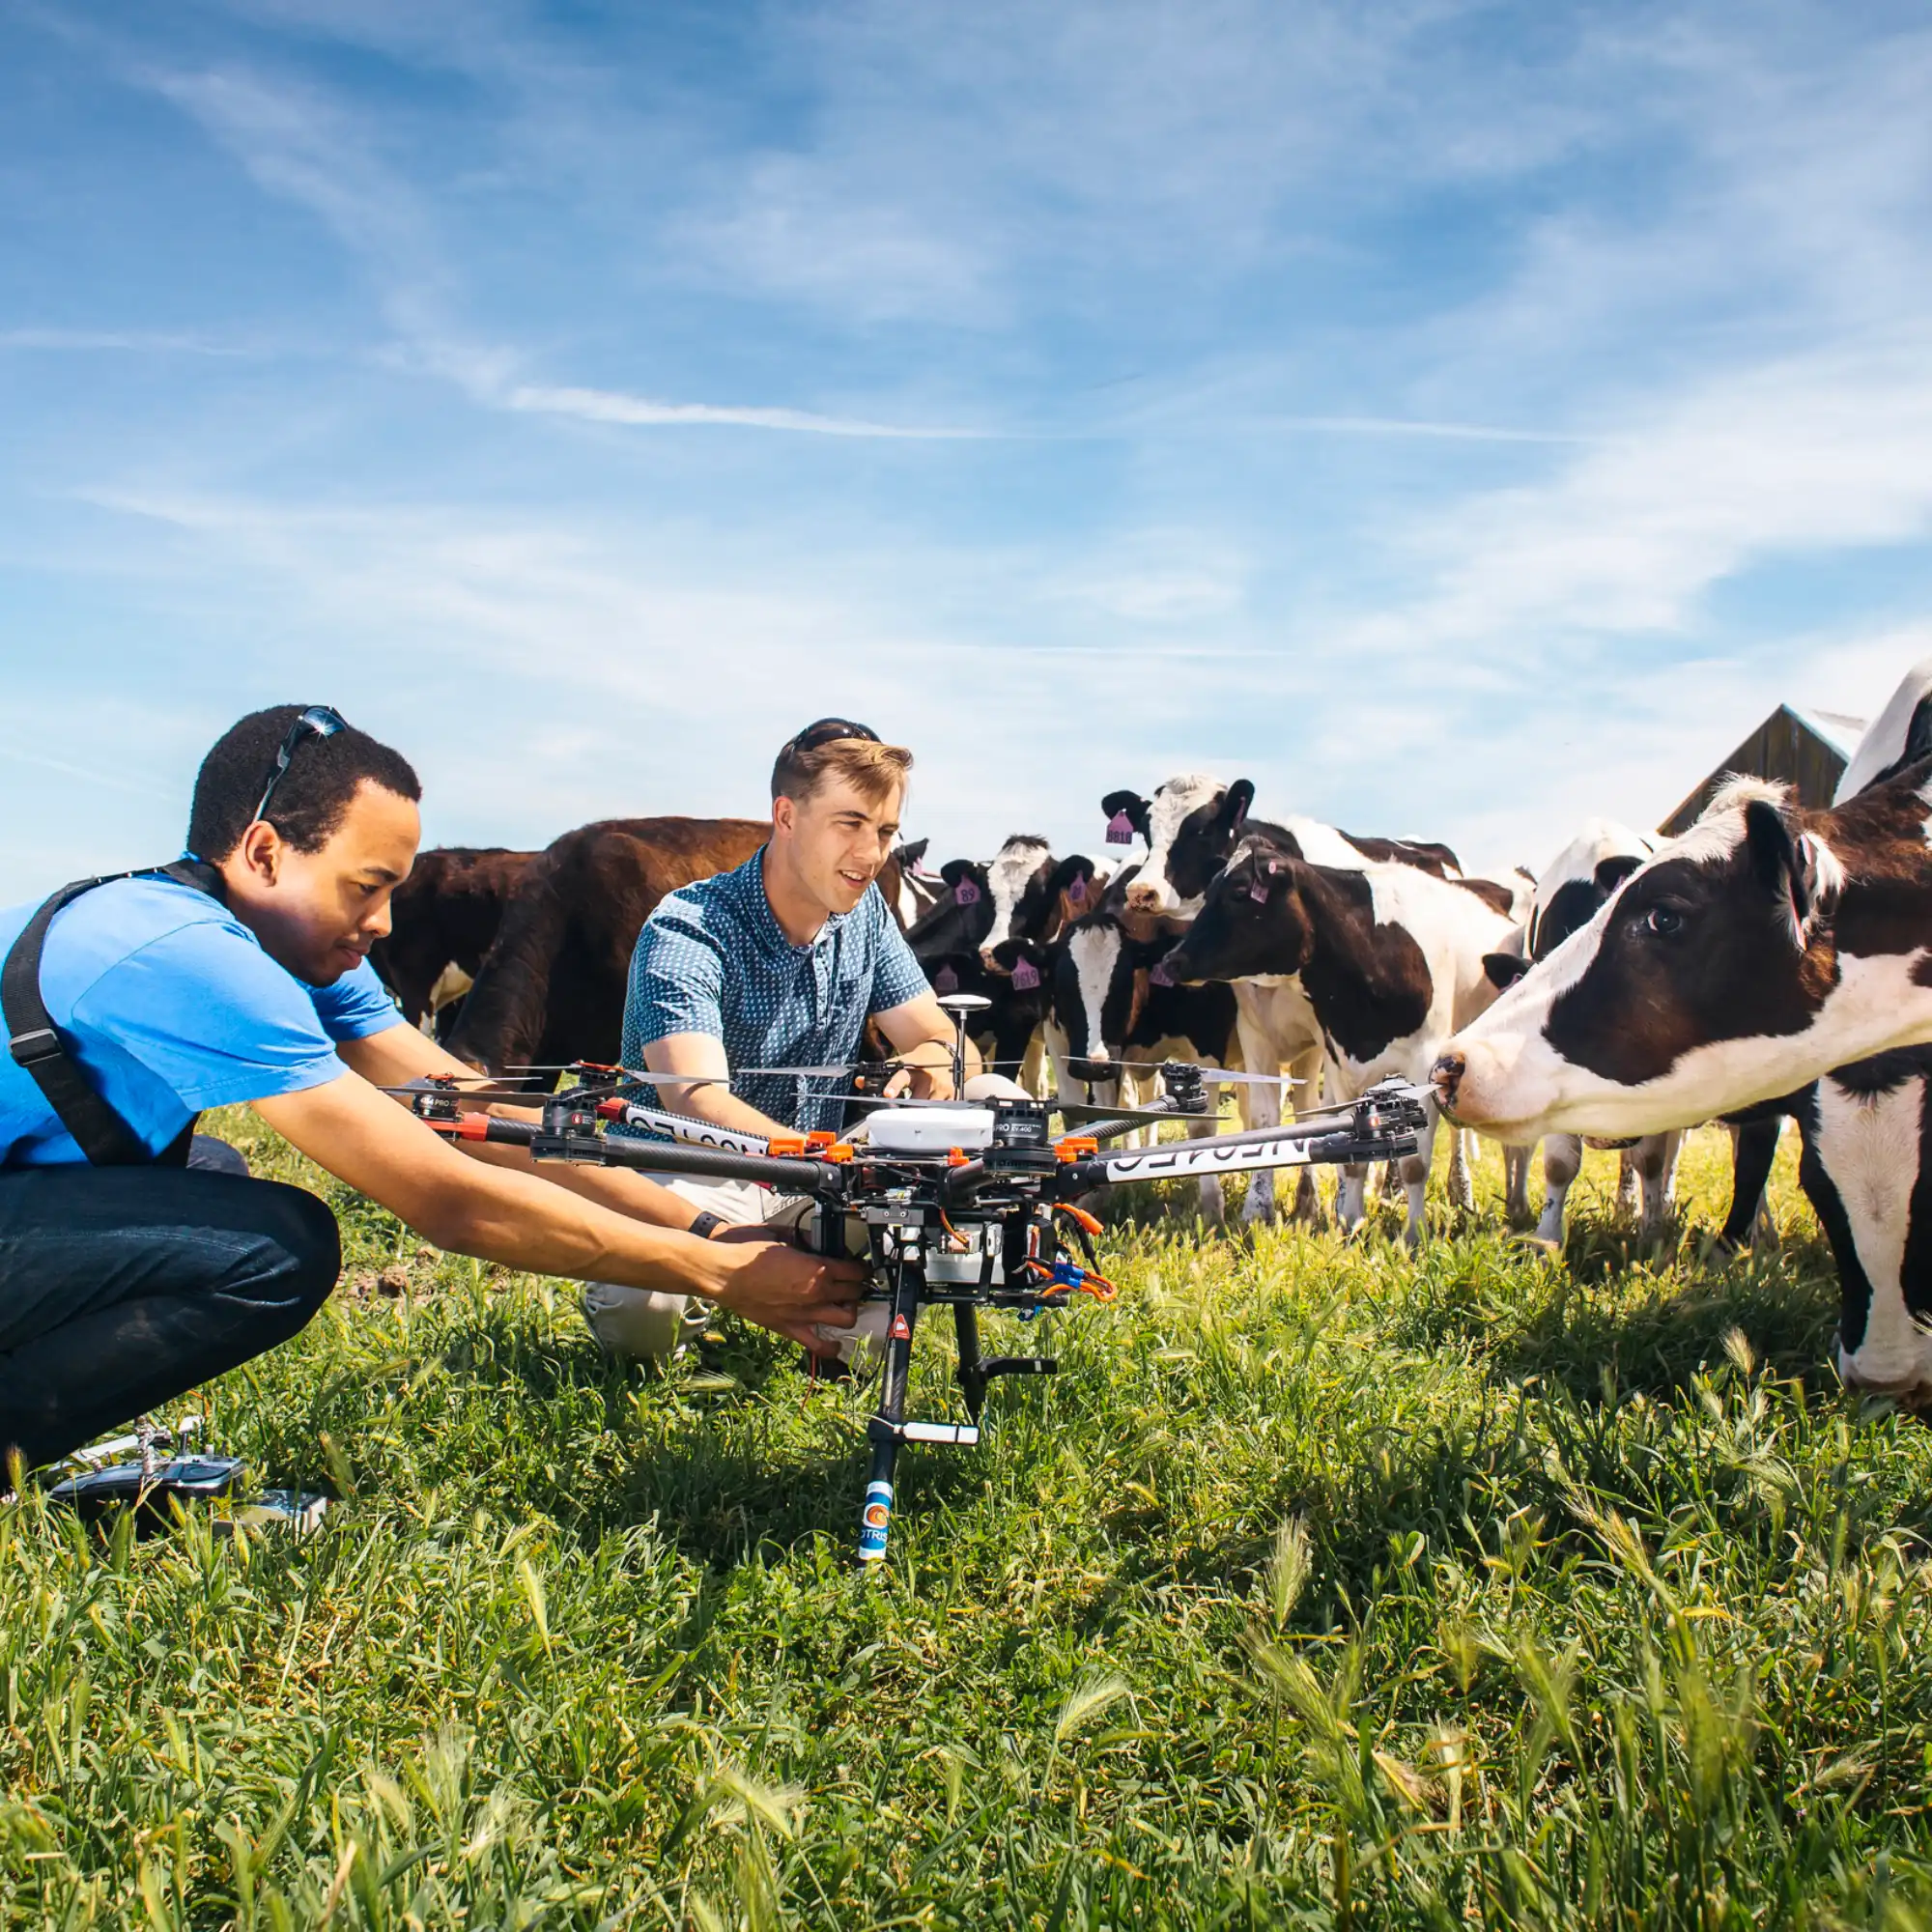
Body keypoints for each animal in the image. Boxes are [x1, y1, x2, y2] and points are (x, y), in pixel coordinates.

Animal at [1159, 838, 1522, 1244]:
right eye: (1208, 893)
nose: (1172, 961)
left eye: (1239, 892)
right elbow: (1353, 1158)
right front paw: (1349, 1224)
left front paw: (1414, 1234)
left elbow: (1415, 1163)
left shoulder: (1422, 1063)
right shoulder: (1338, 1060)